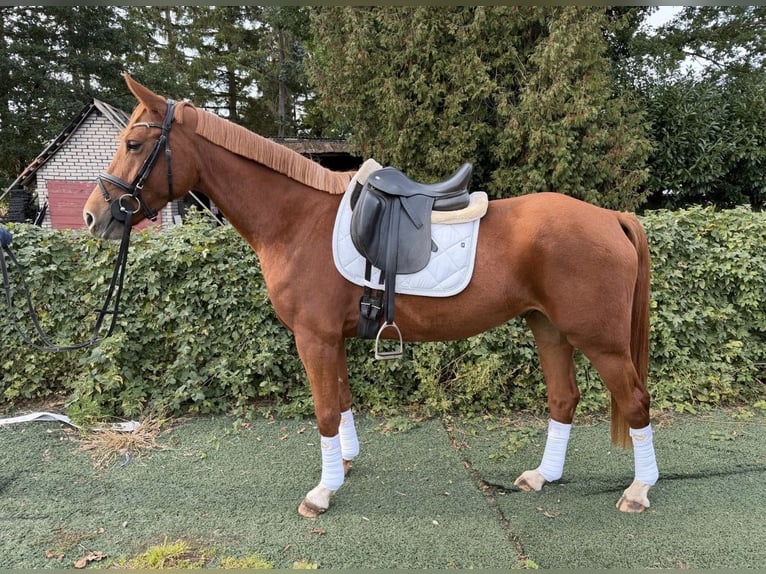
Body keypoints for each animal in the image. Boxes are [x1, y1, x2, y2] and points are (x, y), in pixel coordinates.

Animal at [83, 74, 658, 517]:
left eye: (134, 145)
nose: (93, 216)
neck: (296, 219)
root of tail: (611, 217)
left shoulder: (313, 338)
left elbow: (324, 411)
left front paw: (321, 492)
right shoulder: (330, 339)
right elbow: (340, 401)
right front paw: (343, 465)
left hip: (599, 340)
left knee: (635, 400)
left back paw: (638, 490)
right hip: (550, 328)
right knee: (564, 398)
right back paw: (543, 476)